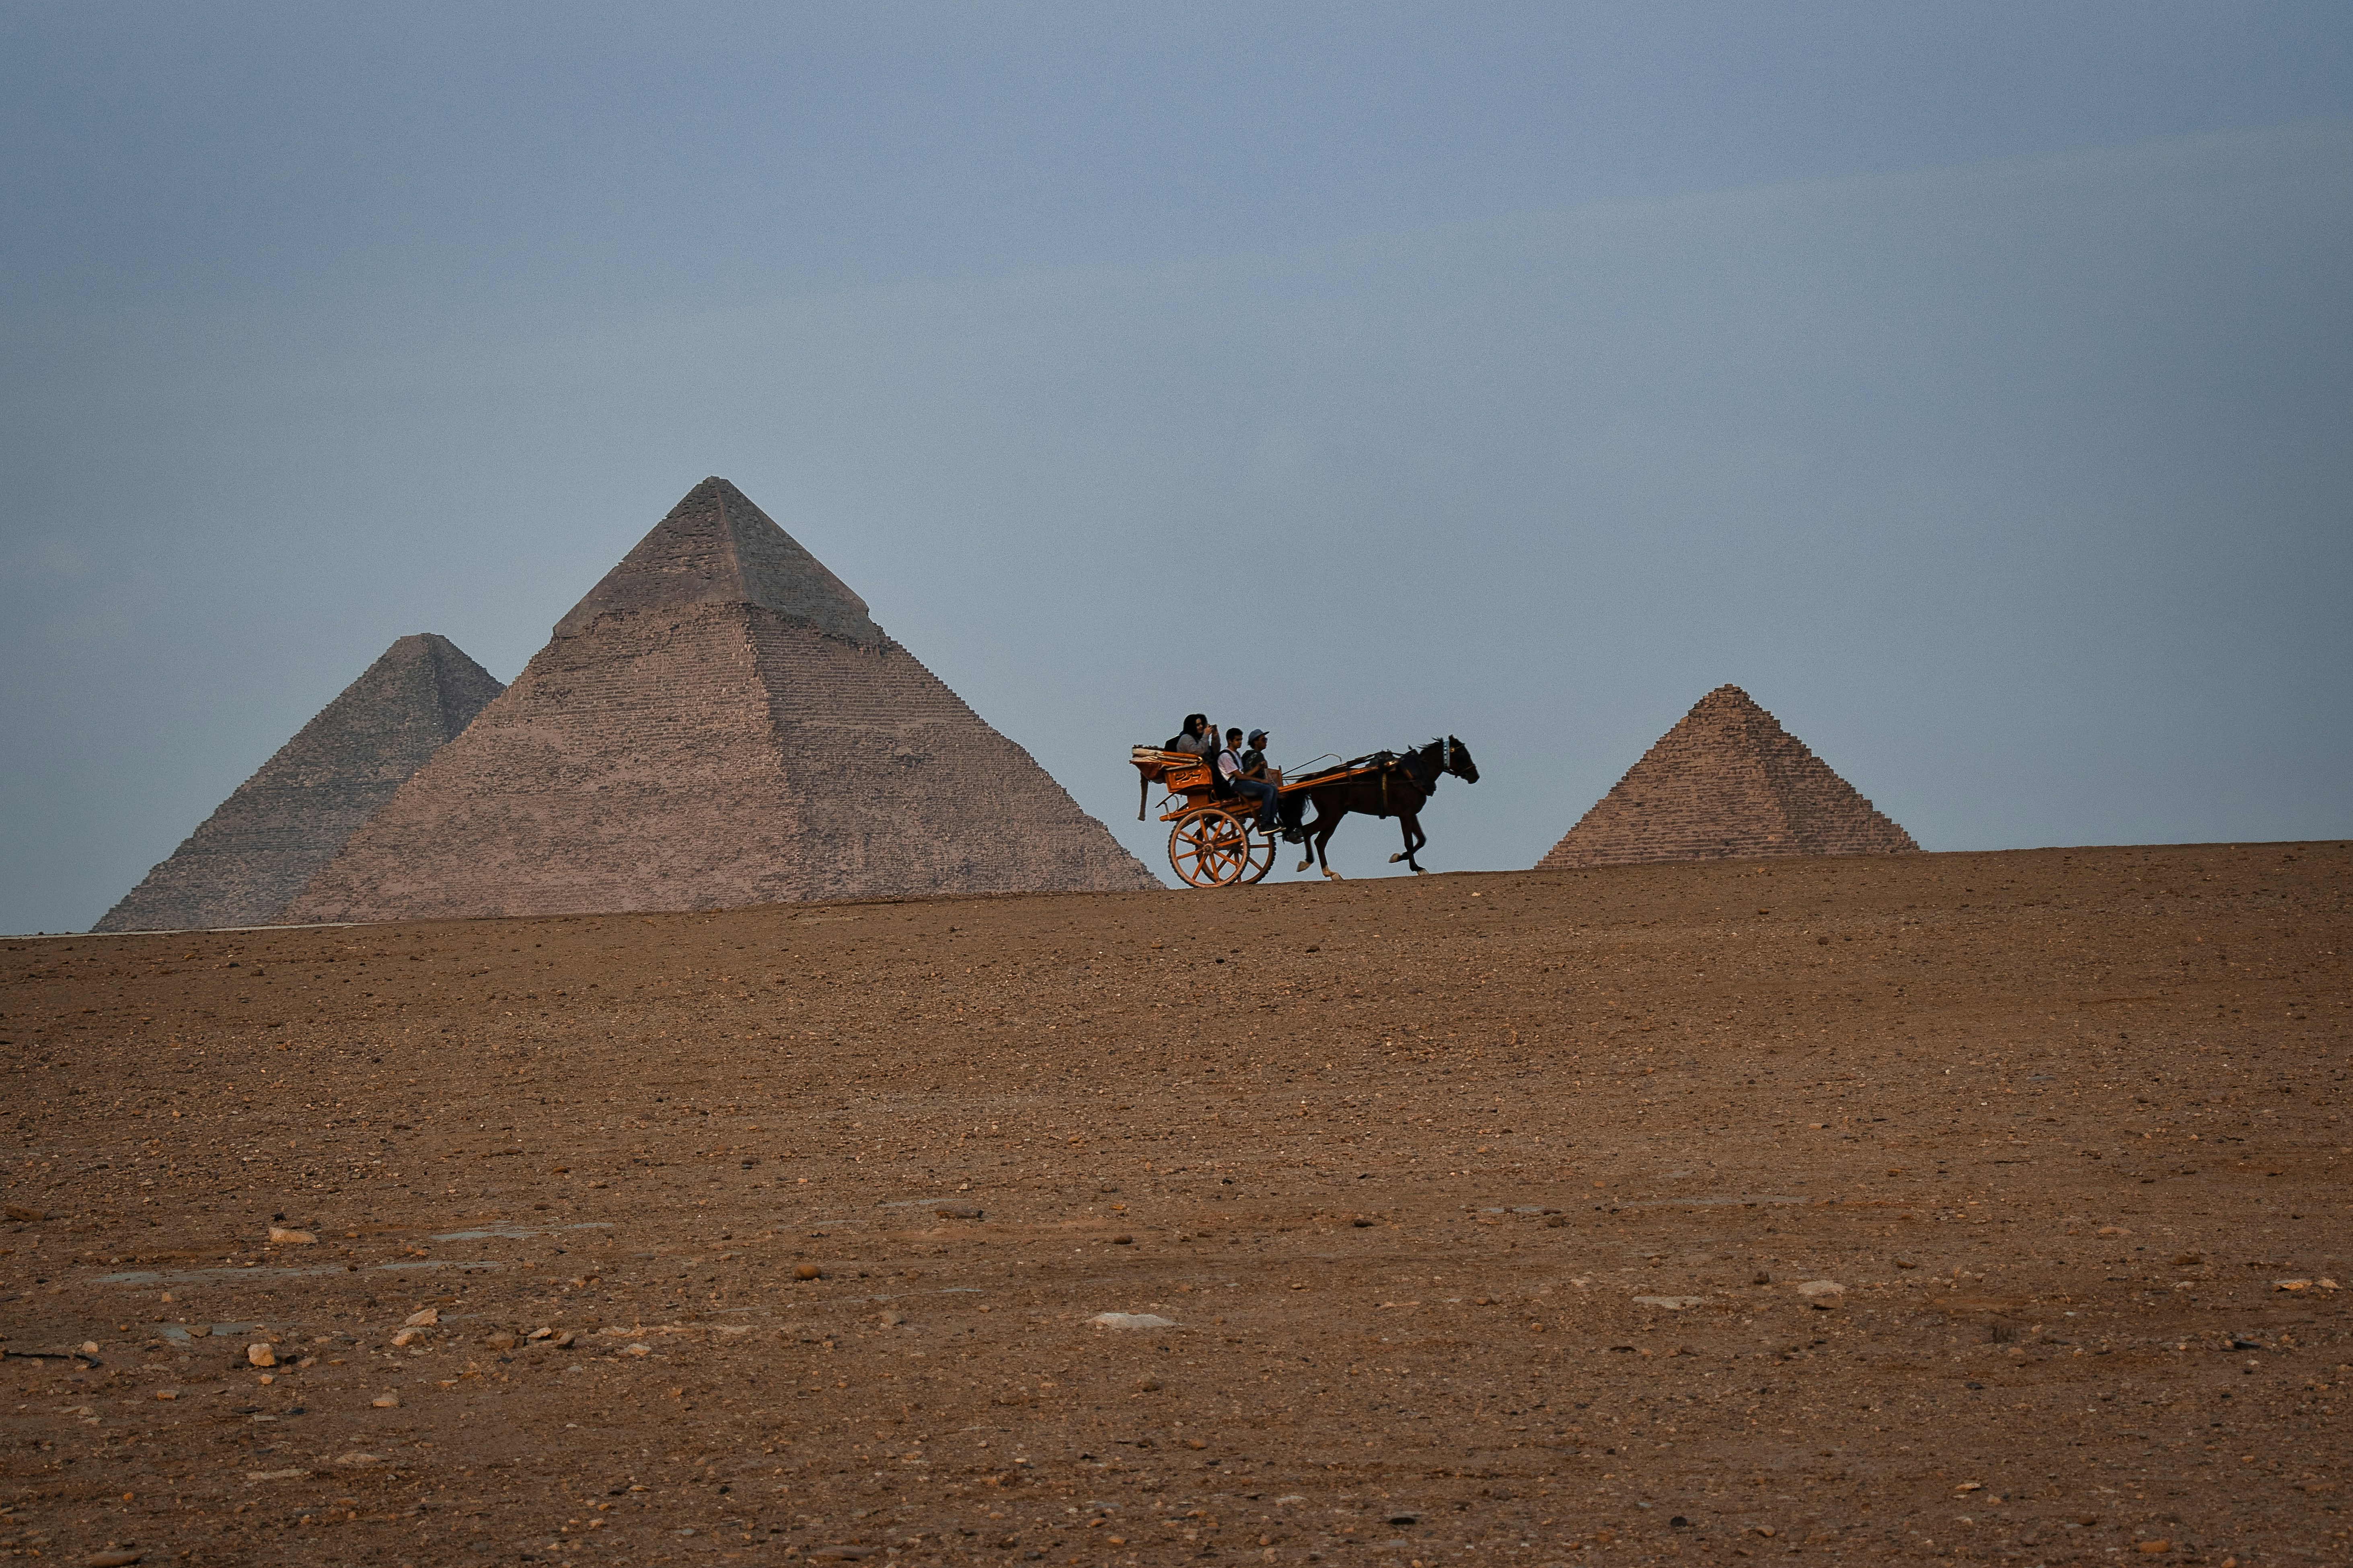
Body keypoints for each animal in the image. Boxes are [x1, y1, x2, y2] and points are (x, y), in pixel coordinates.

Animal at [1286, 736, 1479, 880]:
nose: (1475, 776)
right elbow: (1409, 841)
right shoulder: (1405, 814)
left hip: (1335, 816)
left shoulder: (1412, 814)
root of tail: (1316, 778)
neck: (1413, 776)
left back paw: (1330, 872)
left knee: (1320, 841)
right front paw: (1415, 867)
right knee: (1308, 831)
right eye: (1463, 754)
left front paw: (1400, 858)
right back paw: (1308, 863)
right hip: (1331, 815)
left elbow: (1421, 840)